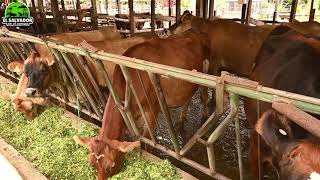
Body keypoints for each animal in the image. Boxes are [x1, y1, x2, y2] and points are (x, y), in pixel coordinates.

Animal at [74, 29, 210, 179]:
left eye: (112, 166)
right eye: (92, 164)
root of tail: (193, 30)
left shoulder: (153, 110)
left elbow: (147, 140)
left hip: (205, 72)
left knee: (204, 94)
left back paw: (205, 115)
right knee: (188, 98)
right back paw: (182, 118)